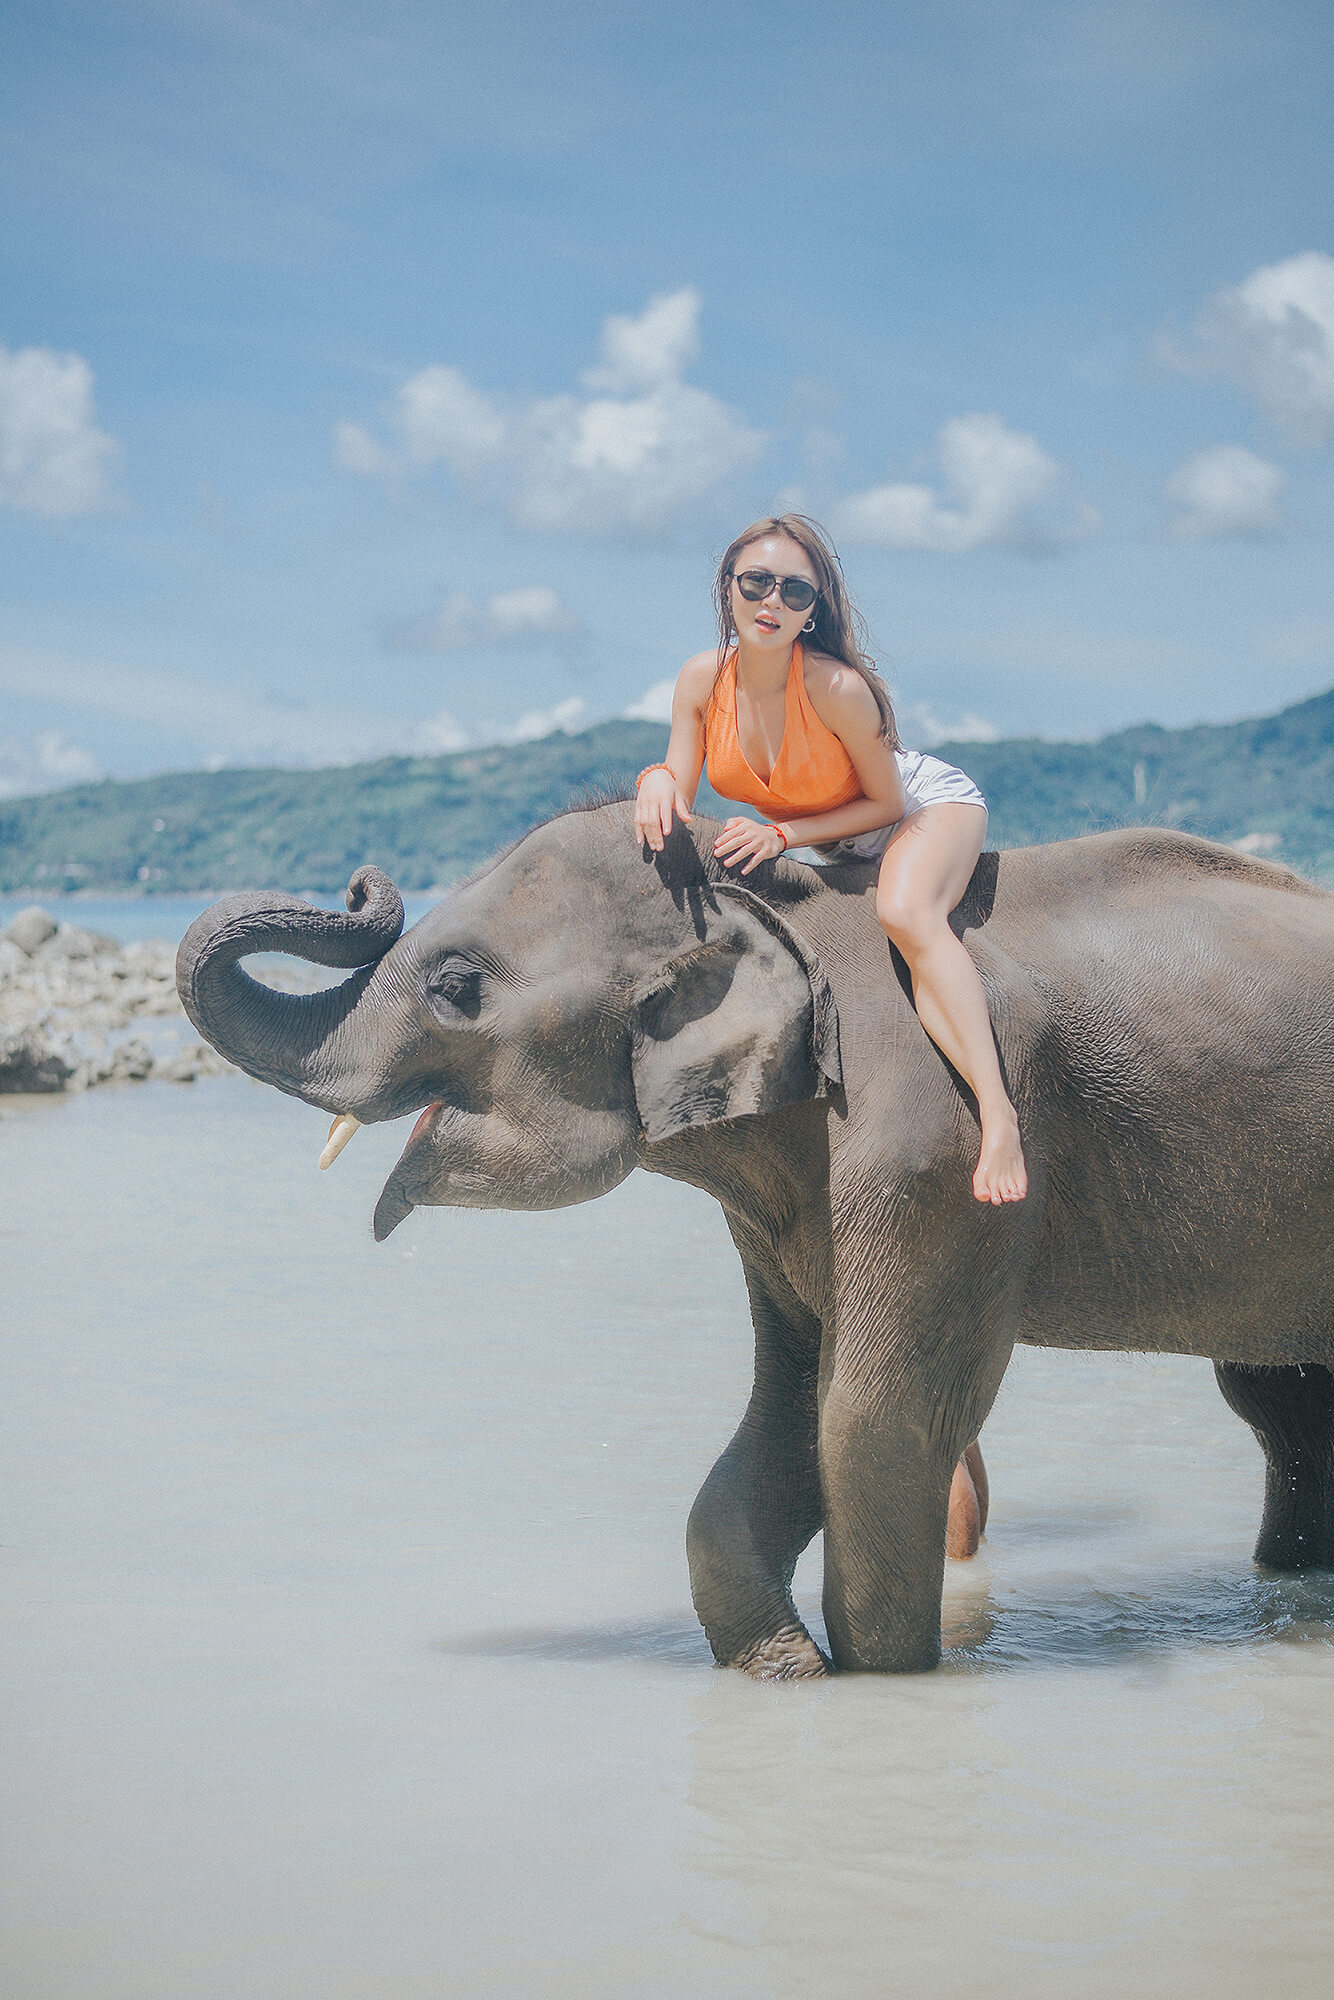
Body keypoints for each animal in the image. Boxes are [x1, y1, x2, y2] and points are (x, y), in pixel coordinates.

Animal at [177, 804, 1334, 1680]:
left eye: (456, 987)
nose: (362, 881)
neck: (777, 910)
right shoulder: (784, 1202)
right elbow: (786, 1410)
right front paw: (787, 1671)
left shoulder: (938, 1143)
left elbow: (870, 1419)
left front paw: (874, 1682)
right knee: (1280, 1399)